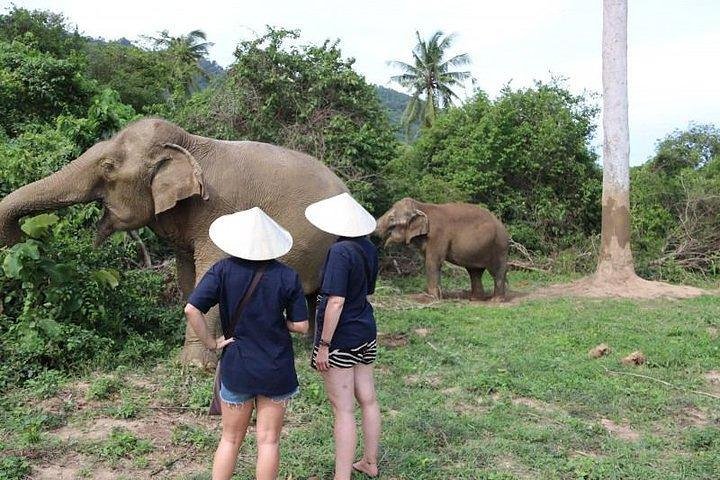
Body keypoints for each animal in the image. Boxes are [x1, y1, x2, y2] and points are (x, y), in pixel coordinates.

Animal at [0, 117, 347, 366]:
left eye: (108, 167)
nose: (28, 238)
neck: (190, 144)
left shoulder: (218, 210)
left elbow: (210, 274)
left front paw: (195, 367)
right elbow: (187, 277)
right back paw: (304, 348)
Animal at [376, 198, 509, 300]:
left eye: (392, 219)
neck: (421, 206)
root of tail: (502, 225)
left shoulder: (437, 235)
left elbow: (432, 262)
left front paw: (432, 298)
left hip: (498, 246)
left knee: (497, 270)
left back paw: (496, 300)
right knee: (475, 272)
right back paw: (475, 299)